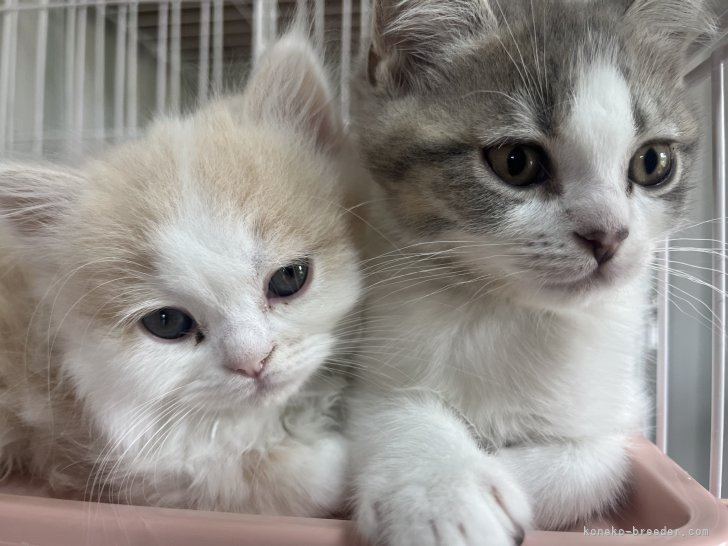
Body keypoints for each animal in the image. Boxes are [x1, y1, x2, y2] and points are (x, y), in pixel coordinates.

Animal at [348, 1, 716, 544]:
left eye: (653, 162)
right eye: (515, 161)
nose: (608, 234)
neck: (515, 316)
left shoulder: (625, 406)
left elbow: (600, 461)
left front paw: (499, 472)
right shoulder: (368, 366)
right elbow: (388, 410)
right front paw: (443, 490)